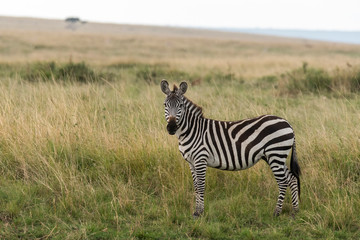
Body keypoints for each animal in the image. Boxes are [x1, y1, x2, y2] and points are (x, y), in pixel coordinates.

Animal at [160, 79, 300, 217]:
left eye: (180, 106)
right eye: (165, 105)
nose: (171, 127)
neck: (192, 131)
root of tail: (287, 123)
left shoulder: (200, 159)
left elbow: (200, 186)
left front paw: (199, 212)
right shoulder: (191, 162)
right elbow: (195, 186)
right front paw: (196, 211)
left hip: (275, 154)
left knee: (283, 182)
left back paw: (277, 212)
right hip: (275, 157)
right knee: (292, 179)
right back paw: (295, 211)